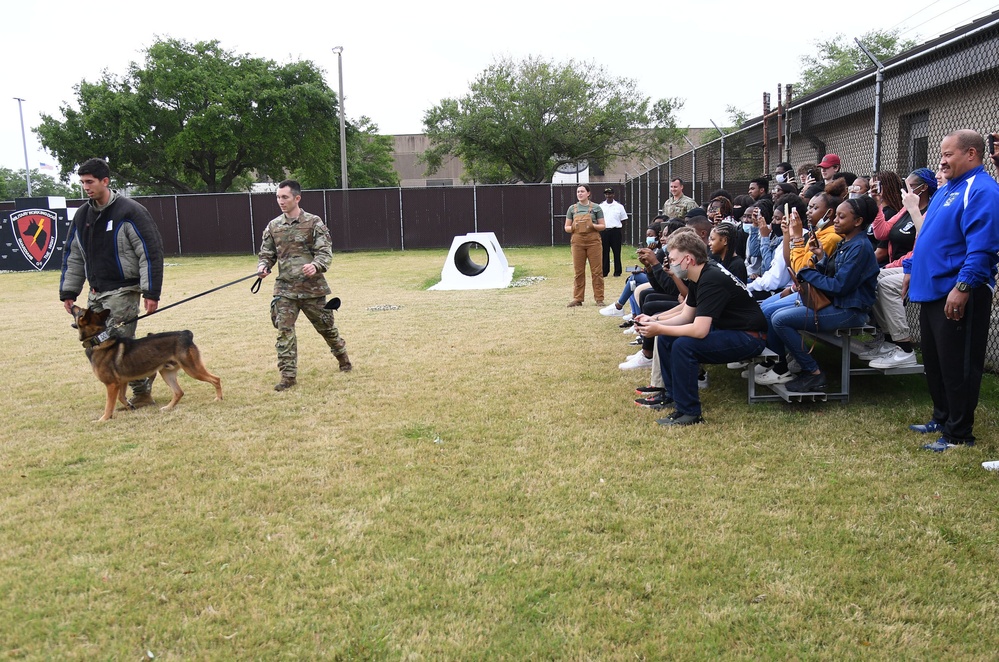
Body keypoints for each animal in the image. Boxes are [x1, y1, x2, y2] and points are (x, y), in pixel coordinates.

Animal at [71, 308, 224, 422]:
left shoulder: (111, 385)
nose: (71, 305)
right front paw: (130, 406)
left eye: (79, 311)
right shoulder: (122, 382)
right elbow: (121, 398)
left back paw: (218, 398)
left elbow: (109, 404)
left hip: (192, 369)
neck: (98, 339)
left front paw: (103, 419)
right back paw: (168, 408)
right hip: (167, 373)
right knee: (179, 392)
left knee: (216, 379)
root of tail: (186, 334)